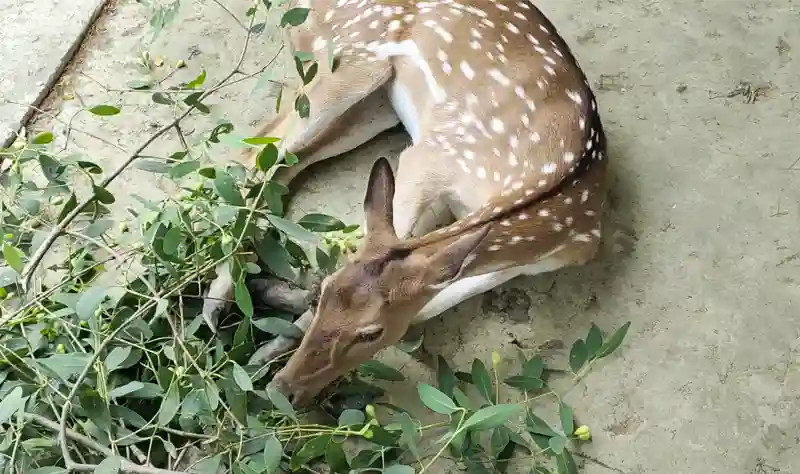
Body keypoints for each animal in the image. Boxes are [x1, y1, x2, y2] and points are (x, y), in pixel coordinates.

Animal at [242, 0, 609, 407]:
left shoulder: (535, 259)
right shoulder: (431, 154)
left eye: (371, 332)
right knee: (257, 149)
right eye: (325, 289)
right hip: (347, 62)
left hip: (377, 106)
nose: (282, 390)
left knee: (283, 160)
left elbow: (427, 305)